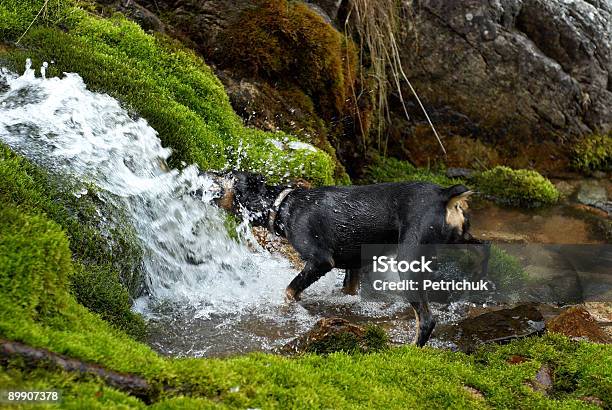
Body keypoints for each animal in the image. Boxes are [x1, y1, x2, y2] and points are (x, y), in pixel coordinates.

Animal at [206, 171, 488, 346]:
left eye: (227, 174)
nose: (206, 171)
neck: (282, 206)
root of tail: (444, 195)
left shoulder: (320, 261)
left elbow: (289, 291)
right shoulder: (354, 266)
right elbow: (347, 292)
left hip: (408, 262)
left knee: (427, 320)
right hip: (459, 238)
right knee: (483, 248)